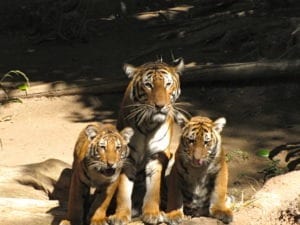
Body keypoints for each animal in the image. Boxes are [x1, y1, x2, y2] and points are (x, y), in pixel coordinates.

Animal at [109, 59, 185, 224]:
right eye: (148, 85)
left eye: (168, 84)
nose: (160, 106)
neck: (148, 124)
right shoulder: (127, 157)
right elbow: (123, 189)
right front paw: (121, 215)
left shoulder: (158, 155)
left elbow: (154, 188)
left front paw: (152, 213)